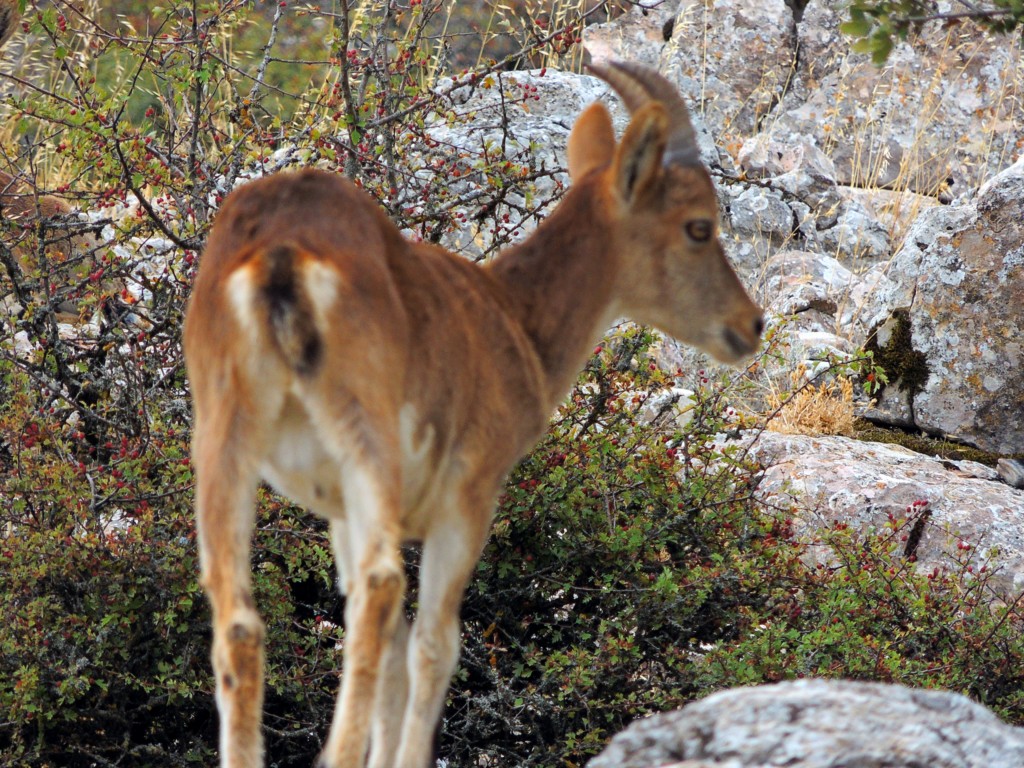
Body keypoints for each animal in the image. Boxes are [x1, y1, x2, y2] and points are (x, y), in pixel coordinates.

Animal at [182, 61, 761, 768]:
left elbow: (395, 655)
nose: (750, 325)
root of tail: (280, 259)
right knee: (381, 585)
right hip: (364, 425)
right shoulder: (469, 493)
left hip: (224, 430)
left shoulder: (340, 509)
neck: (512, 319)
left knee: (240, 618)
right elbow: (435, 645)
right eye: (698, 225)